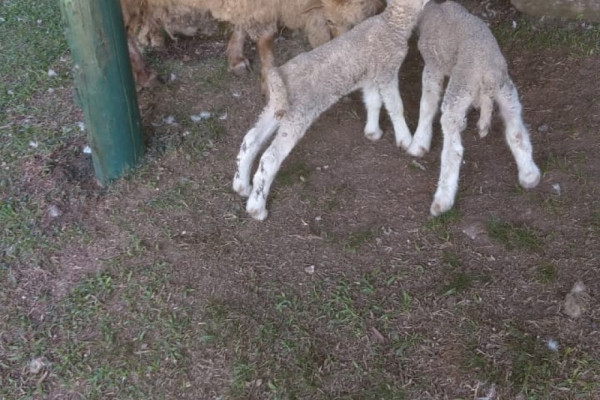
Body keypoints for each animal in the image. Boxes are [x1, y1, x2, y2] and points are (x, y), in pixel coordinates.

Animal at [120, 0, 384, 89]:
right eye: (330, 21)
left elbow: (241, 23)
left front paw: (236, 57)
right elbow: (265, 40)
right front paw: (270, 80)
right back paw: (144, 74)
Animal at [232, 0, 428, 220]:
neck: (392, 25)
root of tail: (279, 76)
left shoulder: (369, 75)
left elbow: (373, 102)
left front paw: (373, 132)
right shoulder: (387, 70)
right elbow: (395, 106)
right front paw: (405, 140)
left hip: (277, 106)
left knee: (251, 139)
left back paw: (242, 186)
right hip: (298, 112)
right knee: (270, 158)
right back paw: (257, 208)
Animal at [408, 0, 544, 216]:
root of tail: (486, 71)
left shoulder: (433, 65)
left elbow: (427, 103)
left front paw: (419, 141)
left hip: (462, 84)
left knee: (453, 150)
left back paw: (442, 200)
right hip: (505, 89)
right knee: (516, 131)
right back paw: (529, 174)